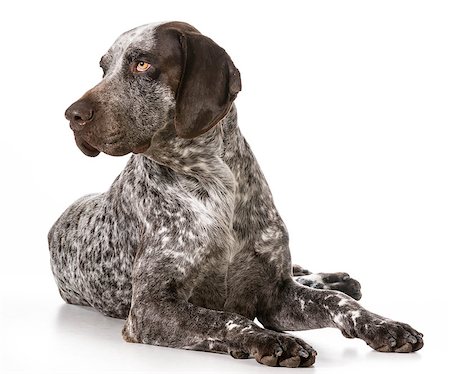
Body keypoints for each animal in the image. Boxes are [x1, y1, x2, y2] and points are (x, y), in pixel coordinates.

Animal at [48, 21, 422, 366]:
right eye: (104, 68)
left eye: (142, 64)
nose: (72, 115)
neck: (215, 182)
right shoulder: (150, 308)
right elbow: (226, 319)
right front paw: (272, 340)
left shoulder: (275, 295)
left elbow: (339, 303)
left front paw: (384, 325)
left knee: (308, 276)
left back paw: (336, 280)